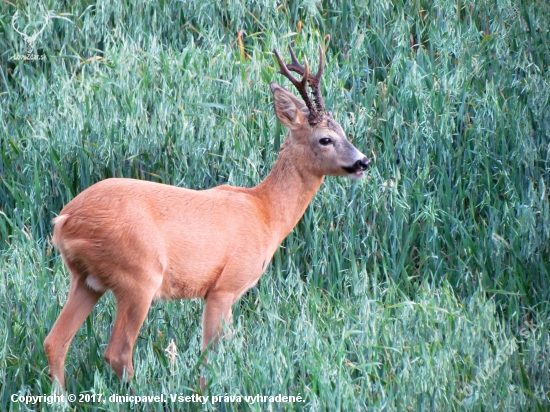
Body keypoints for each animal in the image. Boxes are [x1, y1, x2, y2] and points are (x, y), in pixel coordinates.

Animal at [43, 46, 370, 388]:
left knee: (55, 341)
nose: (363, 161)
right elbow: (211, 356)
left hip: (85, 279)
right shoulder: (225, 286)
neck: (265, 213)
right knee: (117, 351)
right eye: (325, 139)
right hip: (138, 274)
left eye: (344, 132)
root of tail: (65, 220)